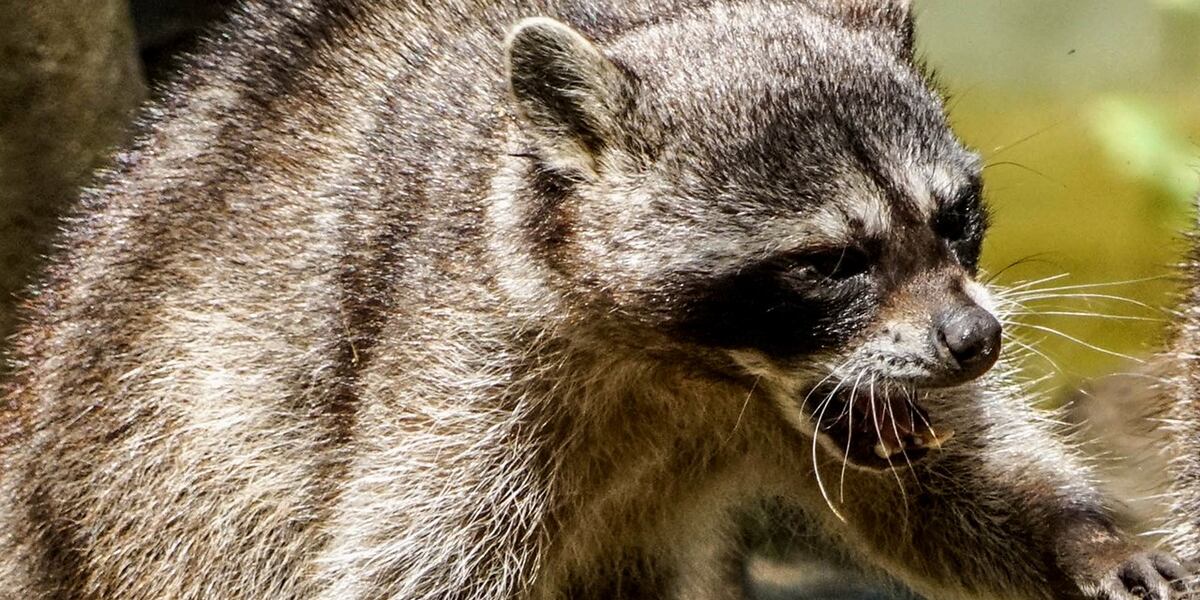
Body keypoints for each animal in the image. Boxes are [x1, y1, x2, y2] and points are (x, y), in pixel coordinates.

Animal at [0, 1, 1190, 598]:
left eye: (956, 218)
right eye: (830, 263)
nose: (977, 339)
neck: (698, 374)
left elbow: (951, 484)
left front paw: (1080, 532)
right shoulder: (461, 357)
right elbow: (402, 558)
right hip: (153, 475)